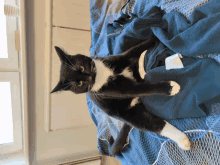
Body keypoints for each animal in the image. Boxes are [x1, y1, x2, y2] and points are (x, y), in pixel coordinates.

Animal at [51, 37, 191, 155]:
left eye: (80, 68)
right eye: (79, 84)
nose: (89, 77)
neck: (102, 74)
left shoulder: (118, 58)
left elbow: (135, 49)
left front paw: (155, 37)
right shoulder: (116, 90)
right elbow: (143, 88)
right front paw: (169, 87)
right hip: (129, 114)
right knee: (152, 124)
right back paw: (182, 139)